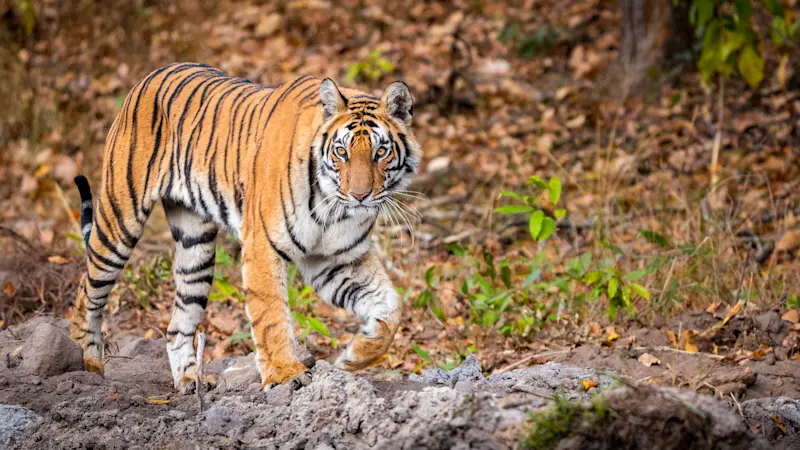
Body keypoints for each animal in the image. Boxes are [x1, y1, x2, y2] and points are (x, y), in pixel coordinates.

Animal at [69, 62, 419, 393]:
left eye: (380, 152)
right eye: (341, 152)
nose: (360, 196)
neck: (333, 208)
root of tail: (148, 76)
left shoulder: (336, 260)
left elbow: (391, 307)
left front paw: (352, 358)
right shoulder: (263, 246)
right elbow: (271, 315)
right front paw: (285, 375)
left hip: (195, 247)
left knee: (178, 323)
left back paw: (189, 382)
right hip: (118, 220)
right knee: (88, 293)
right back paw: (86, 369)